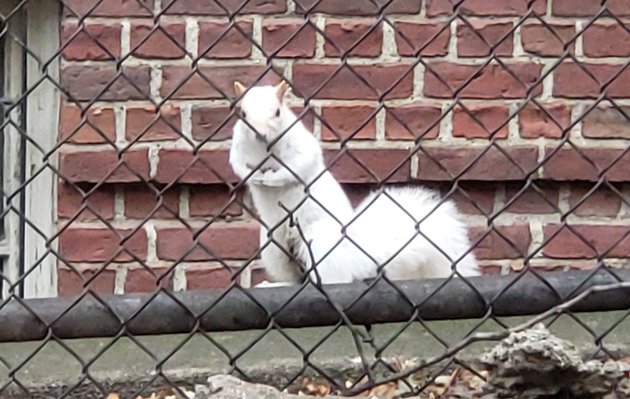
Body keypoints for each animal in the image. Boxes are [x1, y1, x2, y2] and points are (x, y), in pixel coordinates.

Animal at [230, 80, 482, 284]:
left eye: (277, 112)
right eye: (243, 114)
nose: (260, 133)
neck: (264, 150)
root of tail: (358, 260)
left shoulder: (302, 147)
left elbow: (296, 167)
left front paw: (270, 179)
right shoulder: (238, 149)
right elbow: (237, 166)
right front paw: (253, 177)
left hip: (321, 242)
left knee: (332, 280)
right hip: (273, 248)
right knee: (294, 280)